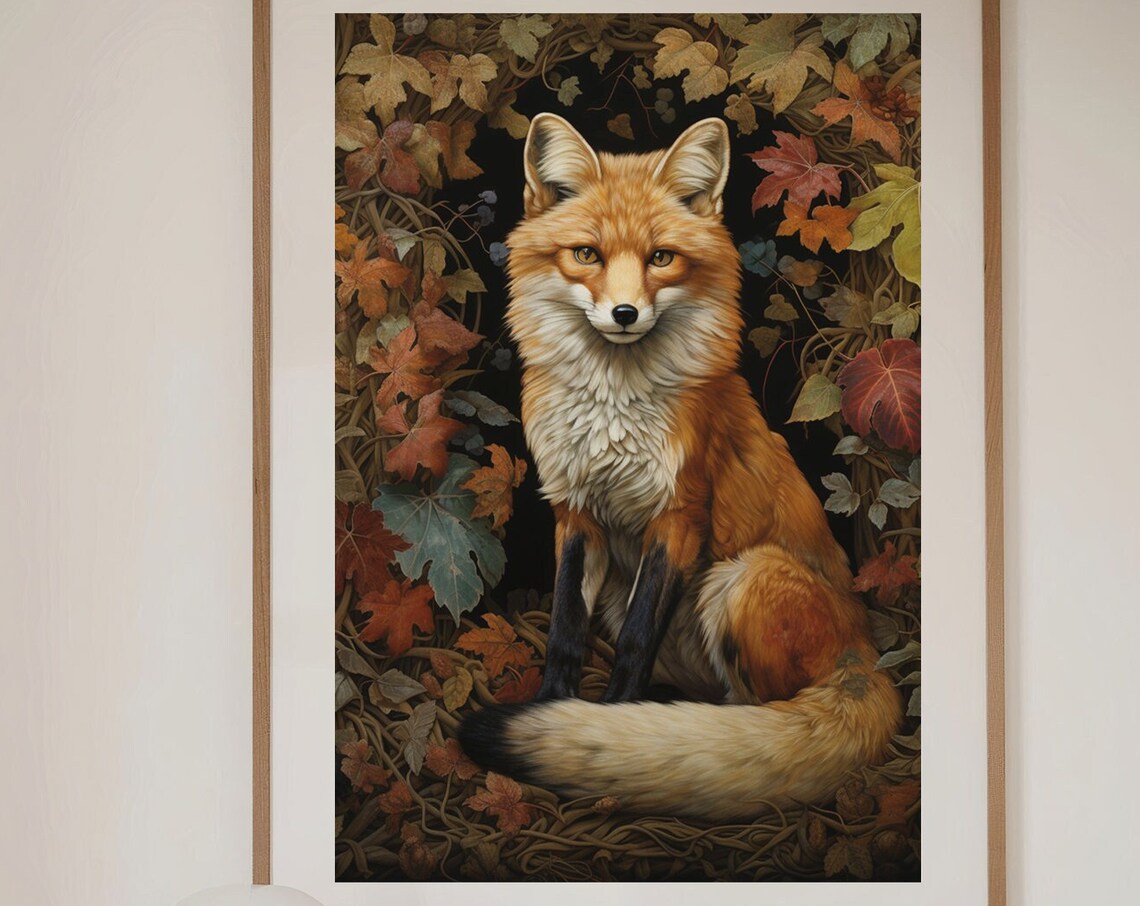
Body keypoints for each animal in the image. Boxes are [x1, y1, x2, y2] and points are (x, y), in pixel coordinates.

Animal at [458, 113, 902, 821]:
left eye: (661, 258)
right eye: (587, 255)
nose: (624, 314)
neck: (612, 407)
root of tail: (868, 654)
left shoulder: (679, 514)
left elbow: (636, 642)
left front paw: (609, 727)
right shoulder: (575, 513)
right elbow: (564, 632)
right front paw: (556, 708)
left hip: (744, 577)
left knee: (760, 713)